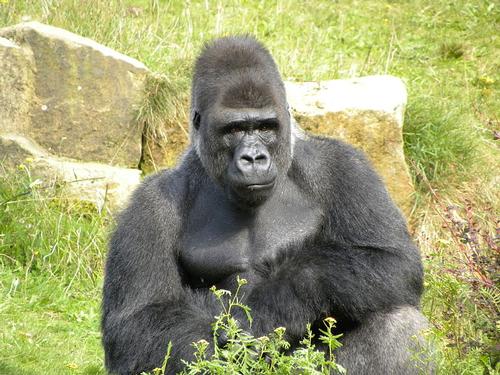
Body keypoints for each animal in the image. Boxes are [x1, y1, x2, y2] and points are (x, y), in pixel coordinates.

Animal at [101, 36, 430, 375]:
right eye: (234, 129)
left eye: (265, 127)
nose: (254, 158)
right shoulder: (150, 205)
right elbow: (138, 319)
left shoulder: (344, 166)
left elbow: (391, 259)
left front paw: (268, 309)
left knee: (396, 321)